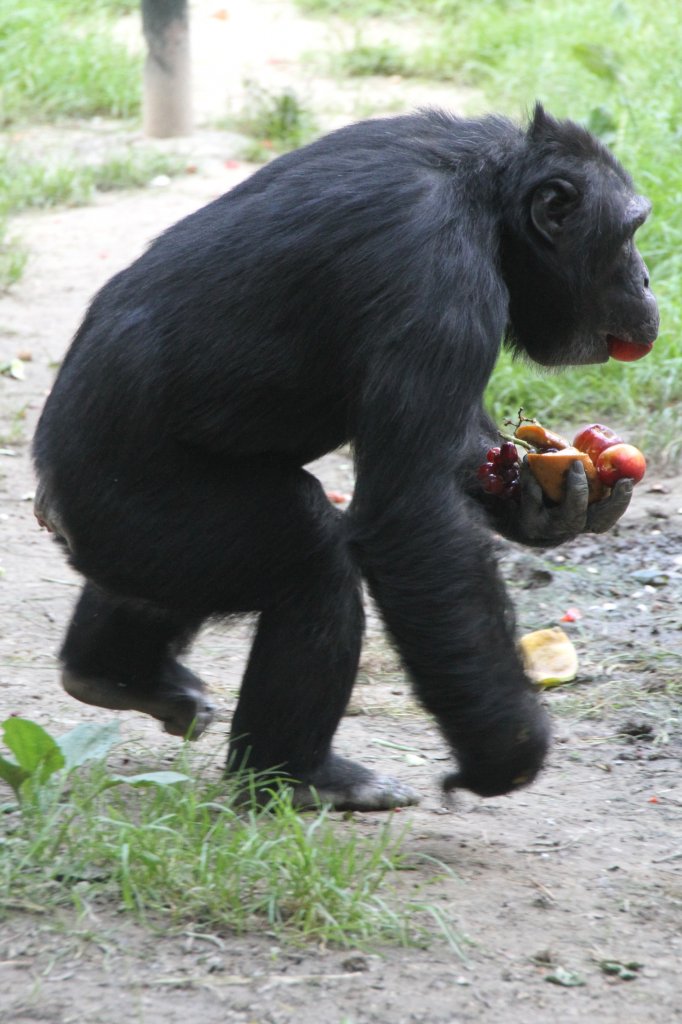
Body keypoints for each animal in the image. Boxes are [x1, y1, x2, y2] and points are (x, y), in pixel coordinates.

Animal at [31, 103, 655, 806]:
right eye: (629, 233)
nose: (647, 277)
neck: (488, 198)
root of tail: (48, 496)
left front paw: (547, 504)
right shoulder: (437, 274)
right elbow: (415, 514)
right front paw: (508, 753)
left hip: (135, 541)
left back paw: (114, 674)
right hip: (139, 505)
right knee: (314, 559)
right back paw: (297, 775)